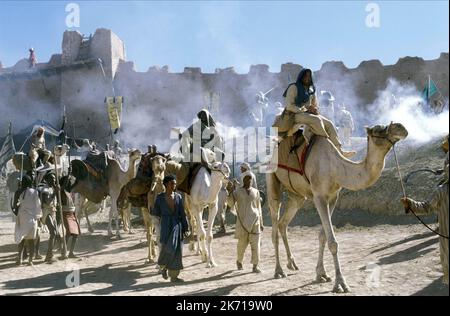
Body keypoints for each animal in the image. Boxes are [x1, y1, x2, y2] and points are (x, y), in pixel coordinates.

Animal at [266, 122, 410, 292]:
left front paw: (321, 274)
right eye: (378, 129)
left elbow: (322, 236)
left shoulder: (333, 197)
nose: (401, 127)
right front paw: (340, 283)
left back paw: (292, 264)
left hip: (297, 196)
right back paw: (279, 270)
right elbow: (333, 242)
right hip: (272, 181)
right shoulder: (319, 196)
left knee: (283, 224)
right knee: (275, 223)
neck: (335, 167)